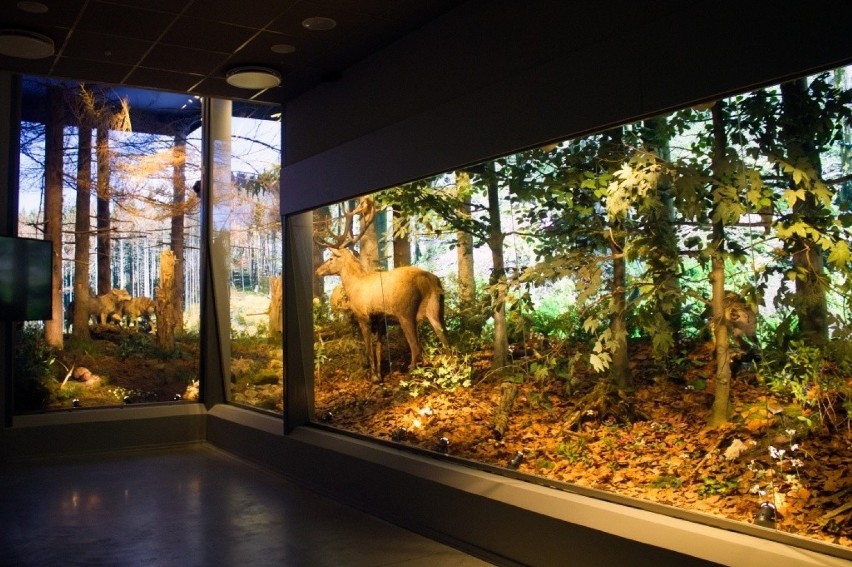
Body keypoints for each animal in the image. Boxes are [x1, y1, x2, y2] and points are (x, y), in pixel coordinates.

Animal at [316, 197, 452, 380]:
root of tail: (430, 280)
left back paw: (410, 373)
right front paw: (379, 374)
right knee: (446, 340)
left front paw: (372, 375)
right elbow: (379, 347)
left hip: (405, 313)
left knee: (416, 348)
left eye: (331, 258)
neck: (354, 285)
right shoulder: (380, 321)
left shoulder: (363, 316)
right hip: (437, 308)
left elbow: (368, 347)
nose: (317, 271)